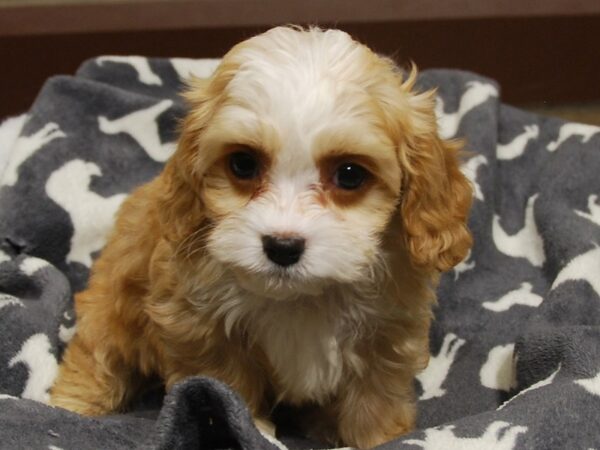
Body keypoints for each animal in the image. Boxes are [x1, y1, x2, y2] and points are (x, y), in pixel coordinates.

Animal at [50, 26, 474, 448]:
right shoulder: (200, 327)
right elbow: (227, 388)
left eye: (350, 174)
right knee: (97, 354)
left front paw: (380, 438)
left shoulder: (386, 333)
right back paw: (71, 407)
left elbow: (374, 402)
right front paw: (252, 430)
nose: (282, 247)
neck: (300, 298)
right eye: (243, 164)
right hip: (112, 304)